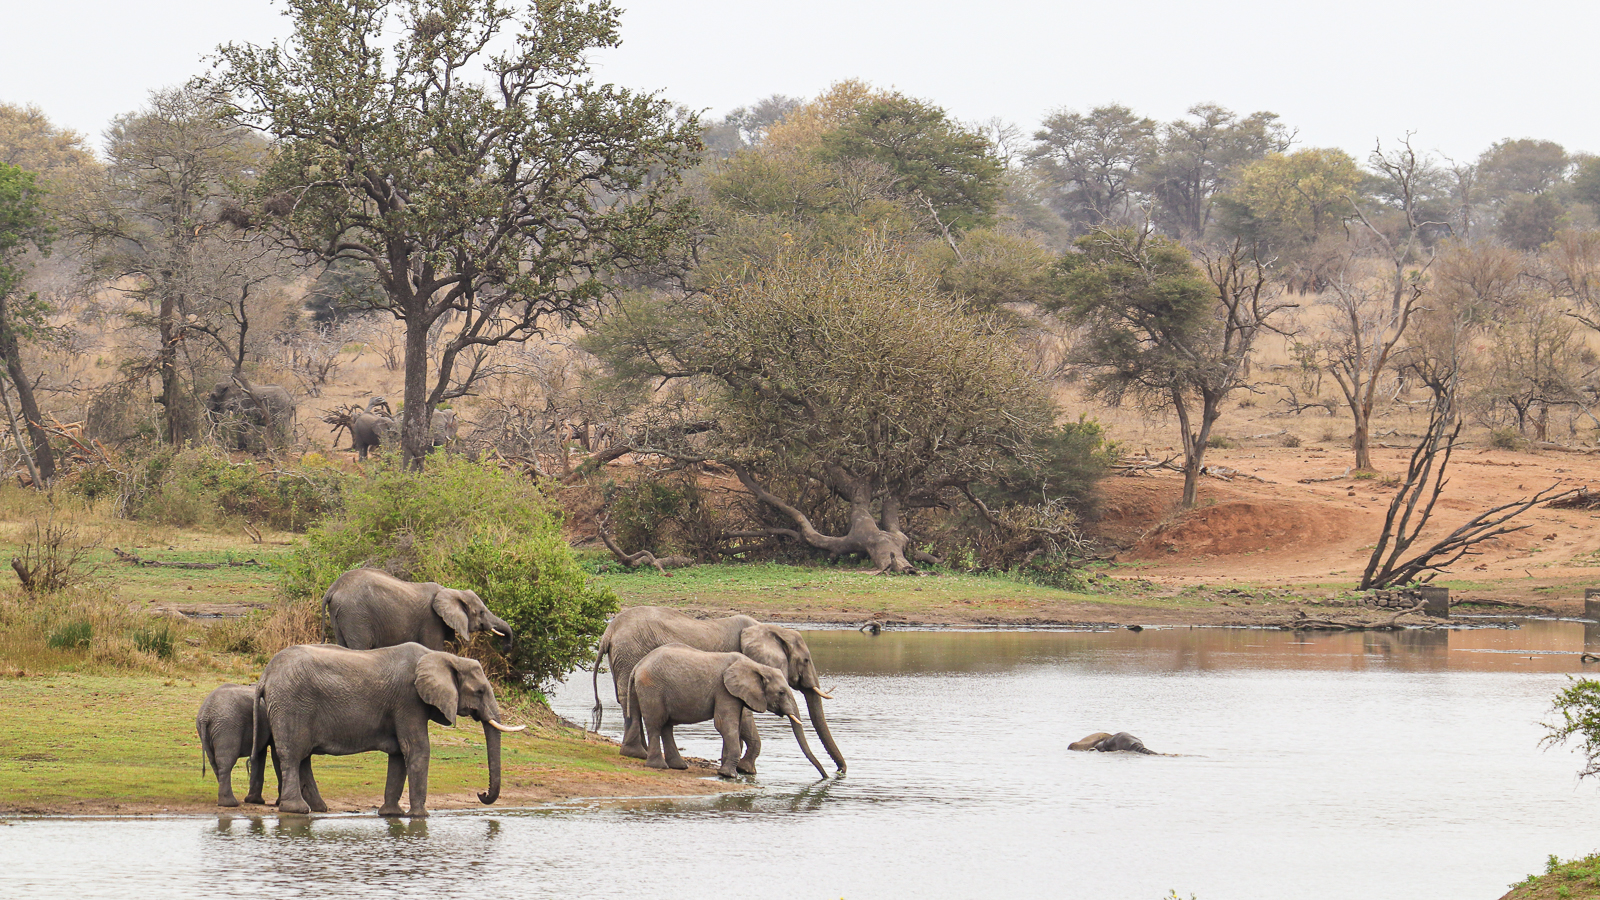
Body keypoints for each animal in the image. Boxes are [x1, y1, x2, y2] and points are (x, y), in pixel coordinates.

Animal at [252, 642, 524, 817]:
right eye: (479, 691)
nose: (481, 793)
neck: (441, 656)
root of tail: (265, 676)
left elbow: (399, 754)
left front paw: (392, 815)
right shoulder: (409, 700)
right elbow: (417, 749)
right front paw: (420, 816)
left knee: (300, 758)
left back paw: (320, 809)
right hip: (292, 704)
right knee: (293, 755)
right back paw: (297, 810)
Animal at [322, 567, 514, 655]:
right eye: (481, 612)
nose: (505, 649)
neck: (450, 591)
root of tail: (333, 588)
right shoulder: (432, 621)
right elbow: (434, 649)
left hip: (341, 614)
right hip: (356, 615)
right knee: (360, 647)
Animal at [627, 643, 828, 779]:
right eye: (781, 692)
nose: (827, 776)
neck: (756, 666)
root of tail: (637, 666)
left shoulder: (737, 693)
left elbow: (737, 725)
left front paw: (730, 771)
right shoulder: (724, 690)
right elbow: (725, 724)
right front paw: (729, 775)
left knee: (667, 726)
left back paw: (679, 766)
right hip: (652, 688)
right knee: (656, 724)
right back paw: (659, 766)